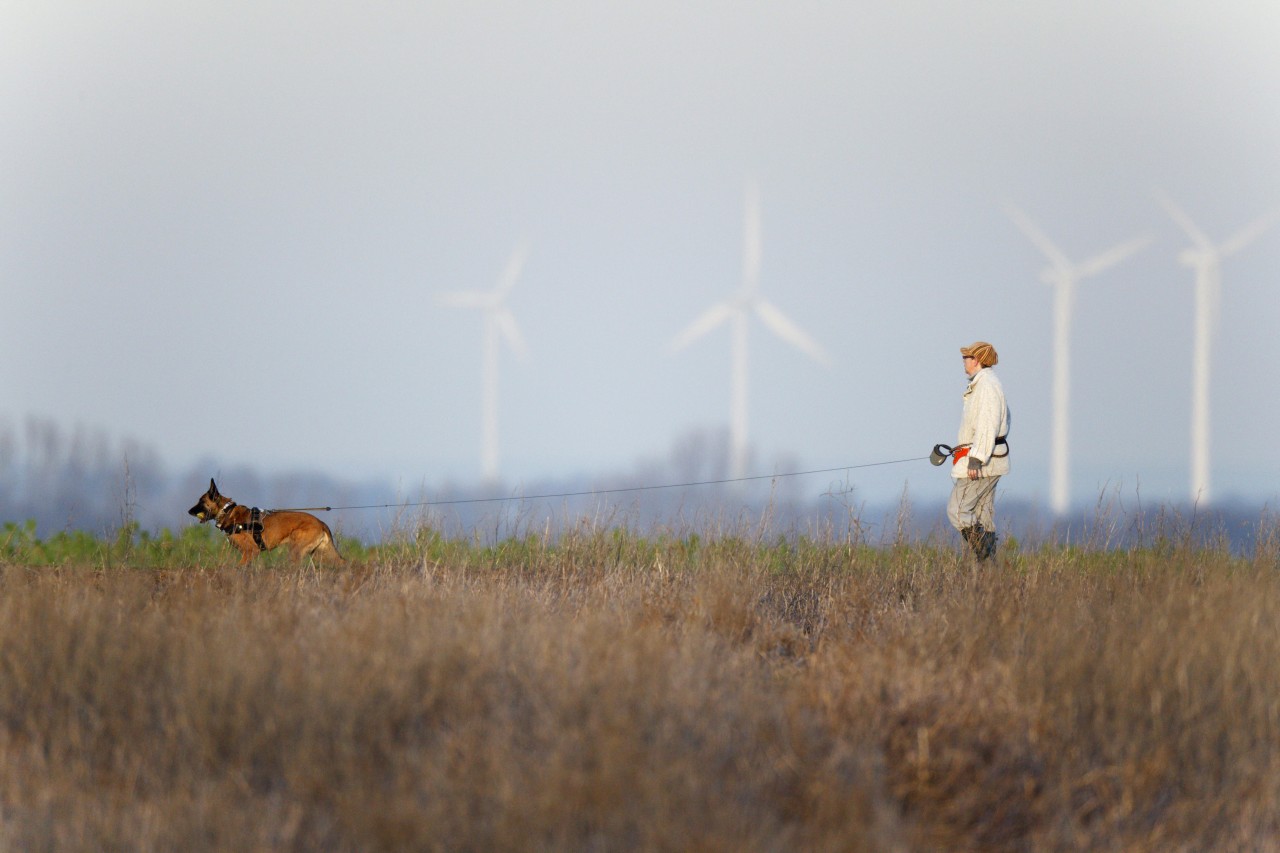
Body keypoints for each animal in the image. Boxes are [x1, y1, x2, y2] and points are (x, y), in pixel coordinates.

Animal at [185, 479, 345, 563]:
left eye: (201, 501)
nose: (189, 511)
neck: (227, 511)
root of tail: (321, 523)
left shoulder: (250, 552)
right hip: (322, 554)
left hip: (295, 551)